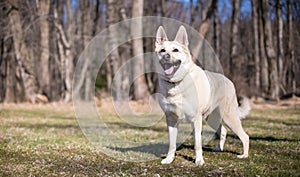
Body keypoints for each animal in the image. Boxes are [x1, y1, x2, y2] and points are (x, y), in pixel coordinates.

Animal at [156, 25, 250, 165]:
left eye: (175, 50)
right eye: (162, 50)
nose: (166, 56)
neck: (176, 83)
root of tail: (228, 80)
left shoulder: (196, 119)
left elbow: (197, 144)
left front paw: (199, 160)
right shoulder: (171, 119)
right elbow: (172, 144)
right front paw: (169, 159)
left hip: (229, 117)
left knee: (245, 136)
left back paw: (244, 155)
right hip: (212, 118)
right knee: (223, 130)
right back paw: (219, 148)